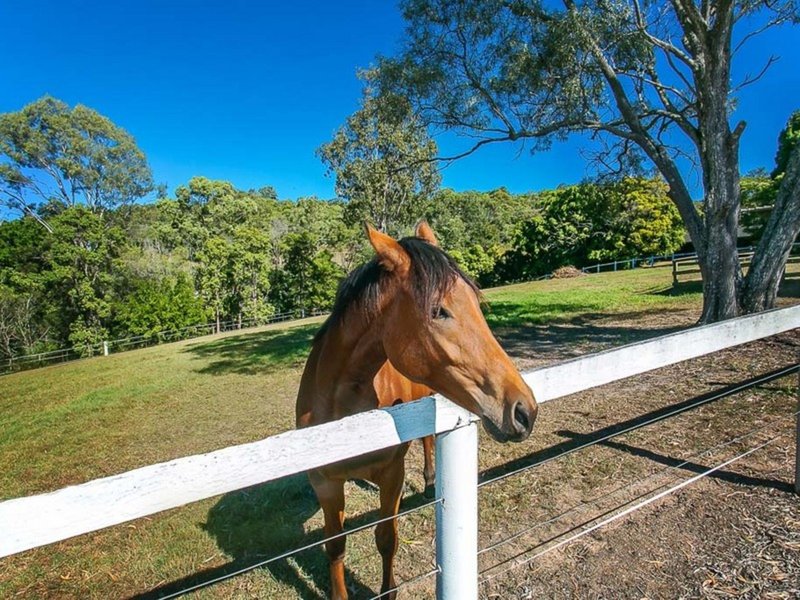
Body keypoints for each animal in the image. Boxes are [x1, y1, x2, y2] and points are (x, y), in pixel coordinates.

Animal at [294, 221, 536, 600]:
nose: (524, 411)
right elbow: (335, 547)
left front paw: (388, 590)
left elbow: (386, 538)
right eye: (439, 311)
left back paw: (430, 480)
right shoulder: (324, 483)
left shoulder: (392, 474)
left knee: (428, 441)